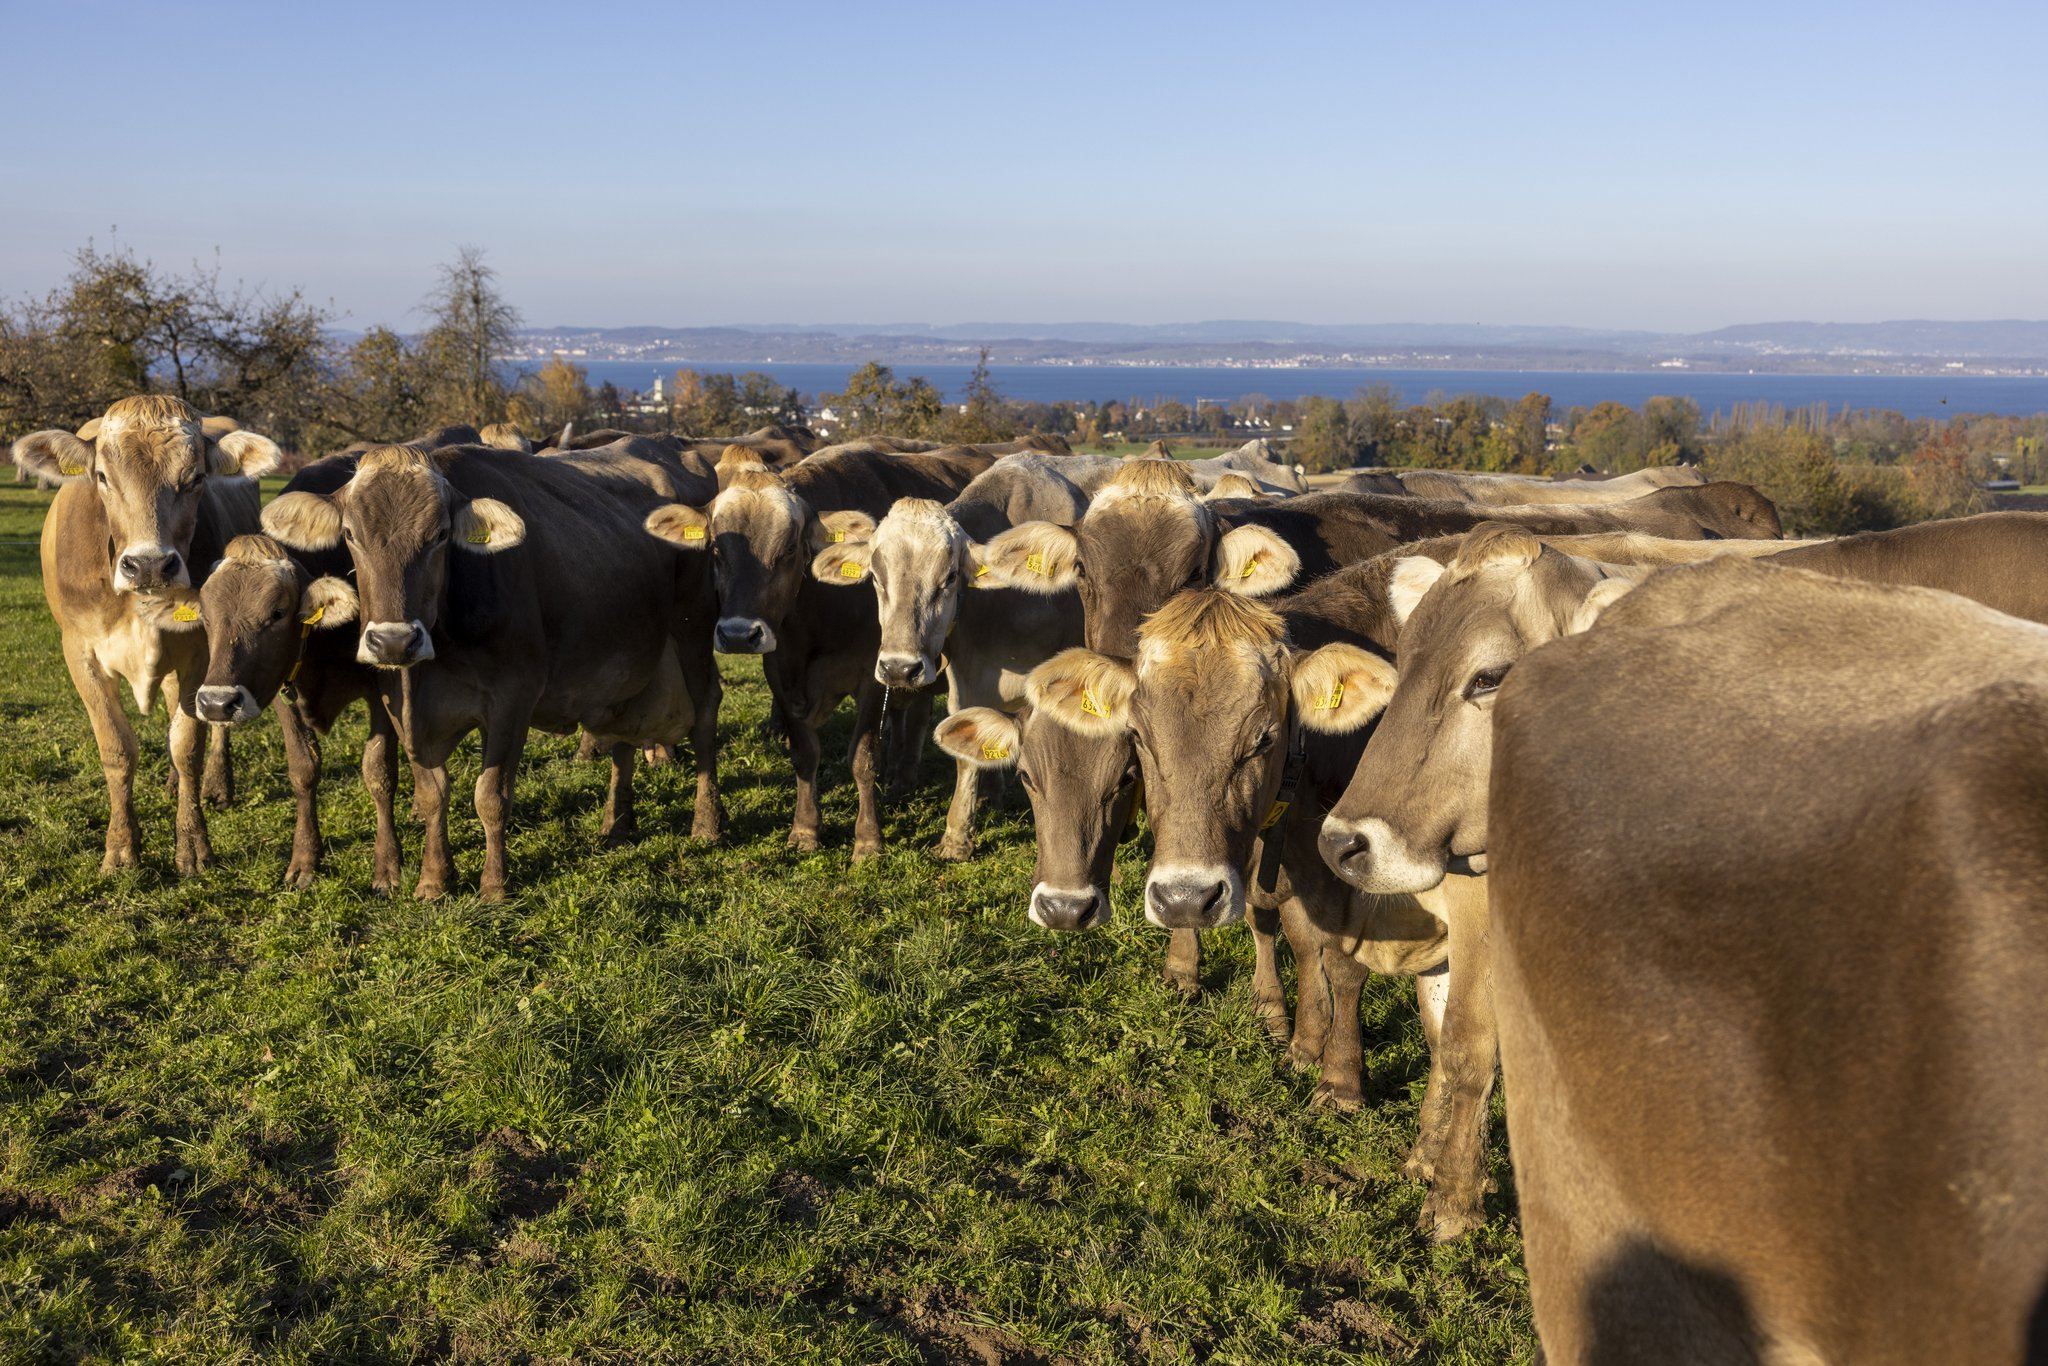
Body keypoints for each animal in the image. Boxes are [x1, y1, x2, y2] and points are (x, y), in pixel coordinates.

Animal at [11, 395, 280, 876]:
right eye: (102, 476)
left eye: (195, 478)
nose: (150, 565)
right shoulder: (80, 652)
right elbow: (117, 749)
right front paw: (121, 849)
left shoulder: (198, 652)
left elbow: (187, 744)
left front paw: (192, 844)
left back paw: (216, 785)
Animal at [264, 444, 712, 901]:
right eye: (351, 535)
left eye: (441, 535)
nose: (394, 641)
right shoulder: (398, 703)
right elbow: (432, 792)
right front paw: (434, 879)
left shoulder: (513, 699)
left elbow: (491, 795)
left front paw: (495, 885)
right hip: (627, 671)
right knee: (623, 734)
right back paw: (617, 824)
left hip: (694, 632)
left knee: (705, 717)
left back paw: (708, 824)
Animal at [638, 446, 991, 856]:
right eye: (715, 548)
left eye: (789, 548)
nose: (739, 635)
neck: (818, 613)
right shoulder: (781, 671)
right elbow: (804, 753)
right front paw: (805, 829)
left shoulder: (875, 673)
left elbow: (862, 756)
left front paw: (868, 839)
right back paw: (901, 780)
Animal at [802, 454, 1089, 860]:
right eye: (875, 577)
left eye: (950, 577)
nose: (899, 668)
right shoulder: (966, 678)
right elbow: (967, 749)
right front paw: (957, 837)